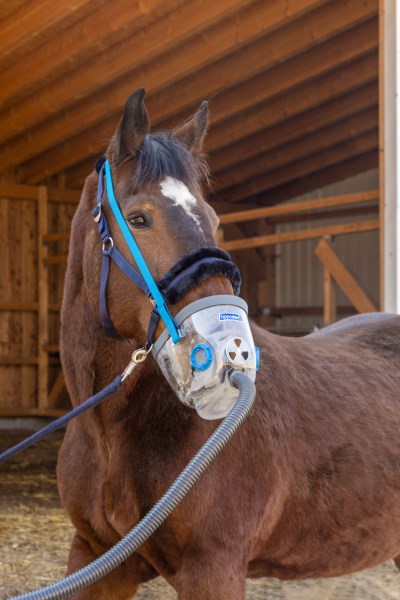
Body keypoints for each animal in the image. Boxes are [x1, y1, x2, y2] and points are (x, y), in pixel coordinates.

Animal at [56, 90, 400, 600]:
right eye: (138, 219)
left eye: (215, 218)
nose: (229, 351)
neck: (111, 435)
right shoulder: (96, 557)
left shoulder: (213, 568)